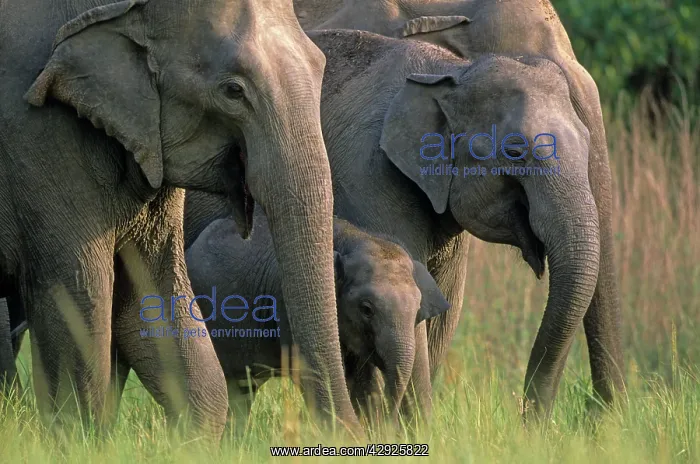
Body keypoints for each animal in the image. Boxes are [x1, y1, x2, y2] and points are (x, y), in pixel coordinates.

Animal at [0, 0, 361, 436]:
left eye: (319, 65)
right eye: (233, 91)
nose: (353, 434)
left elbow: (153, 297)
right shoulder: (42, 140)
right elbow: (78, 300)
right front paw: (82, 440)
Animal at [185, 208, 449, 429]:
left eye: (416, 311)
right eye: (366, 309)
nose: (389, 424)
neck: (354, 239)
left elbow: (361, 377)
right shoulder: (286, 300)